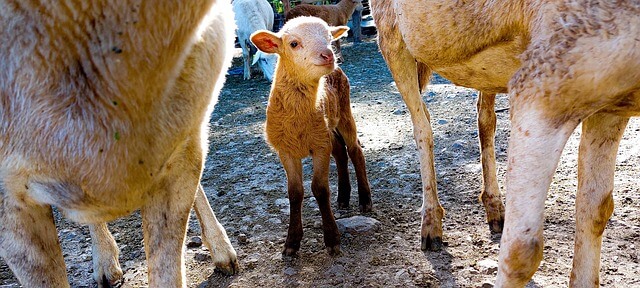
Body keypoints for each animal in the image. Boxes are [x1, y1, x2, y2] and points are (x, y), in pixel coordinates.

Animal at [249, 16, 370, 256]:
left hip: (343, 112)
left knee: (355, 150)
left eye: (329, 38)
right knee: (340, 152)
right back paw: (343, 197)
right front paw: (291, 243)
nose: (328, 54)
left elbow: (320, 189)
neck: (298, 123)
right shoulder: (286, 150)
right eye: (293, 44)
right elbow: (295, 192)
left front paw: (332, 238)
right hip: (327, 127)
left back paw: (364, 200)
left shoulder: (319, 147)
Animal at [370, 0, 640, 286]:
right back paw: (431, 227)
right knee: (422, 121)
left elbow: (596, 209)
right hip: (391, 36)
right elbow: (521, 249)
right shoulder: (542, 82)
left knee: (484, 116)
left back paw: (495, 210)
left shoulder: (610, 106)